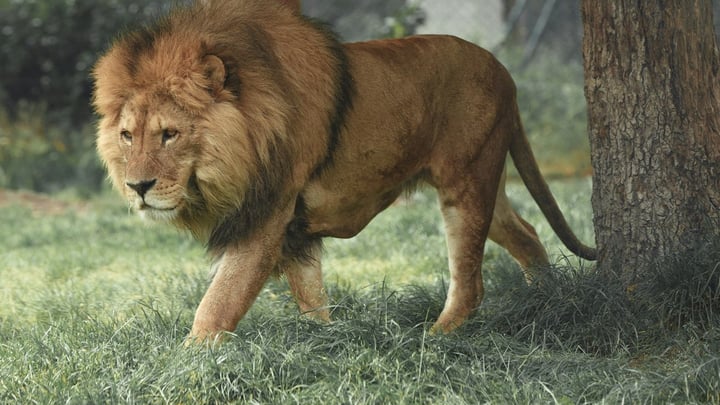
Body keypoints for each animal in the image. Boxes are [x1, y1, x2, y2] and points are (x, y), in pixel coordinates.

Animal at [93, 0, 596, 342]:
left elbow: (220, 301)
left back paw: (434, 339)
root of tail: (504, 72)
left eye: (169, 134)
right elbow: (310, 294)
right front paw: (326, 340)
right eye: (127, 136)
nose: (138, 187)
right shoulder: (293, 228)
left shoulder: (267, 215)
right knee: (526, 232)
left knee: (470, 281)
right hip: (485, 177)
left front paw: (189, 360)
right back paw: (545, 300)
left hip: (466, 181)